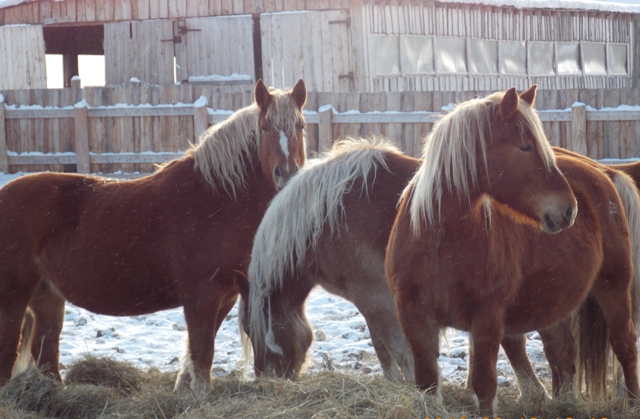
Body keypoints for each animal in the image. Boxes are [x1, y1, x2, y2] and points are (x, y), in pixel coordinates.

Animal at [0, 79, 308, 394]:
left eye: (301, 126)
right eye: (265, 127)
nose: (286, 174)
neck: (215, 199)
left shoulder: (225, 297)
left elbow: (198, 352)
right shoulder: (201, 297)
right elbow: (202, 352)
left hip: (47, 295)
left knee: (46, 353)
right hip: (12, 298)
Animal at [384, 85, 640, 416]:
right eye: (525, 147)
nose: (569, 210)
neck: (438, 243)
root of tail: (604, 172)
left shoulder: (487, 319)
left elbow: (484, 386)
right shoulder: (413, 317)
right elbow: (427, 384)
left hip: (613, 286)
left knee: (624, 344)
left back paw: (632, 403)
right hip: (551, 301)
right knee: (562, 353)